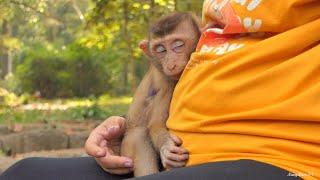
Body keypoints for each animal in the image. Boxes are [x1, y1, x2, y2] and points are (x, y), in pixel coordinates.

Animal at [121, 12, 201, 177]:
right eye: (160, 50)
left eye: (178, 45)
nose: (170, 64)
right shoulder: (165, 82)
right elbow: (156, 123)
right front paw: (167, 147)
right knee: (139, 135)